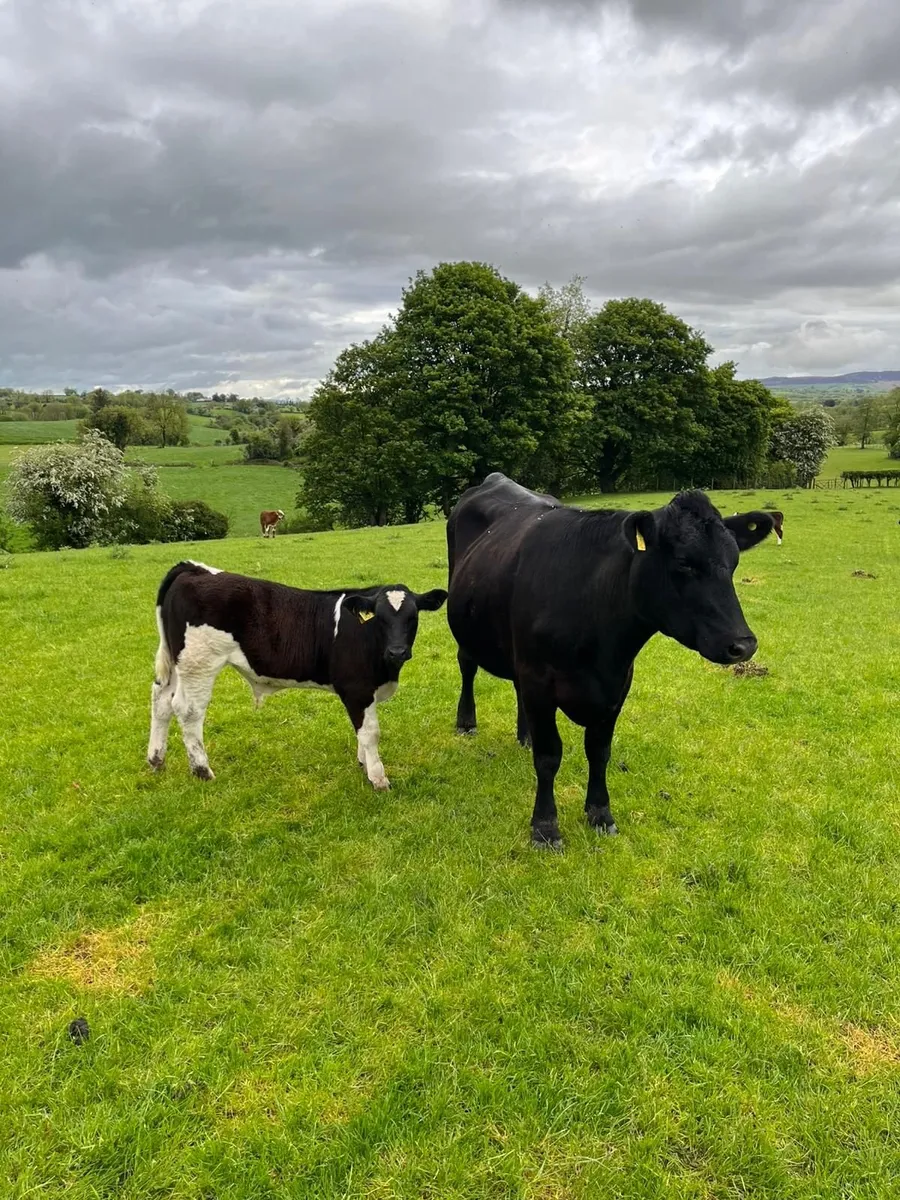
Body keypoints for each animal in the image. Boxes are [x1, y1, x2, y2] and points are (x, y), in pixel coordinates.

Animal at [147, 561, 447, 789]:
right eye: (380, 618)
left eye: (413, 617)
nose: (398, 651)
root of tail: (194, 568)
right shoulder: (357, 689)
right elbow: (370, 732)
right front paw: (378, 778)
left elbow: (361, 731)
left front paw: (363, 763)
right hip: (199, 663)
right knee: (188, 710)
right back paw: (202, 771)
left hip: (177, 663)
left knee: (161, 701)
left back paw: (156, 760)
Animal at [446, 474, 783, 847]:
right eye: (684, 562)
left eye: (734, 561)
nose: (743, 645)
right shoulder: (538, 680)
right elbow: (549, 756)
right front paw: (545, 827)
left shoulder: (618, 684)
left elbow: (599, 751)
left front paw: (600, 813)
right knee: (467, 666)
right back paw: (467, 722)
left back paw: (525, 735)